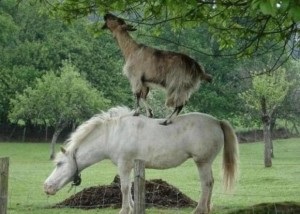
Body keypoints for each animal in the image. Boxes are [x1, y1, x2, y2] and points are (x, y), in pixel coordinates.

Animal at [43, 106, 239, 213]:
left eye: (59, 163)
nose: (46, 187)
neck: (112, 134)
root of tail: (217, 122)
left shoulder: (124, 164)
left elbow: (123, 187)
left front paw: (124, 210)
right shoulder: (130, 166)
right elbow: (128, 187)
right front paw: (131, 208)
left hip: (202, 162)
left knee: (206, 184)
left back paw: (198, 210)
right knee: (210, 184)